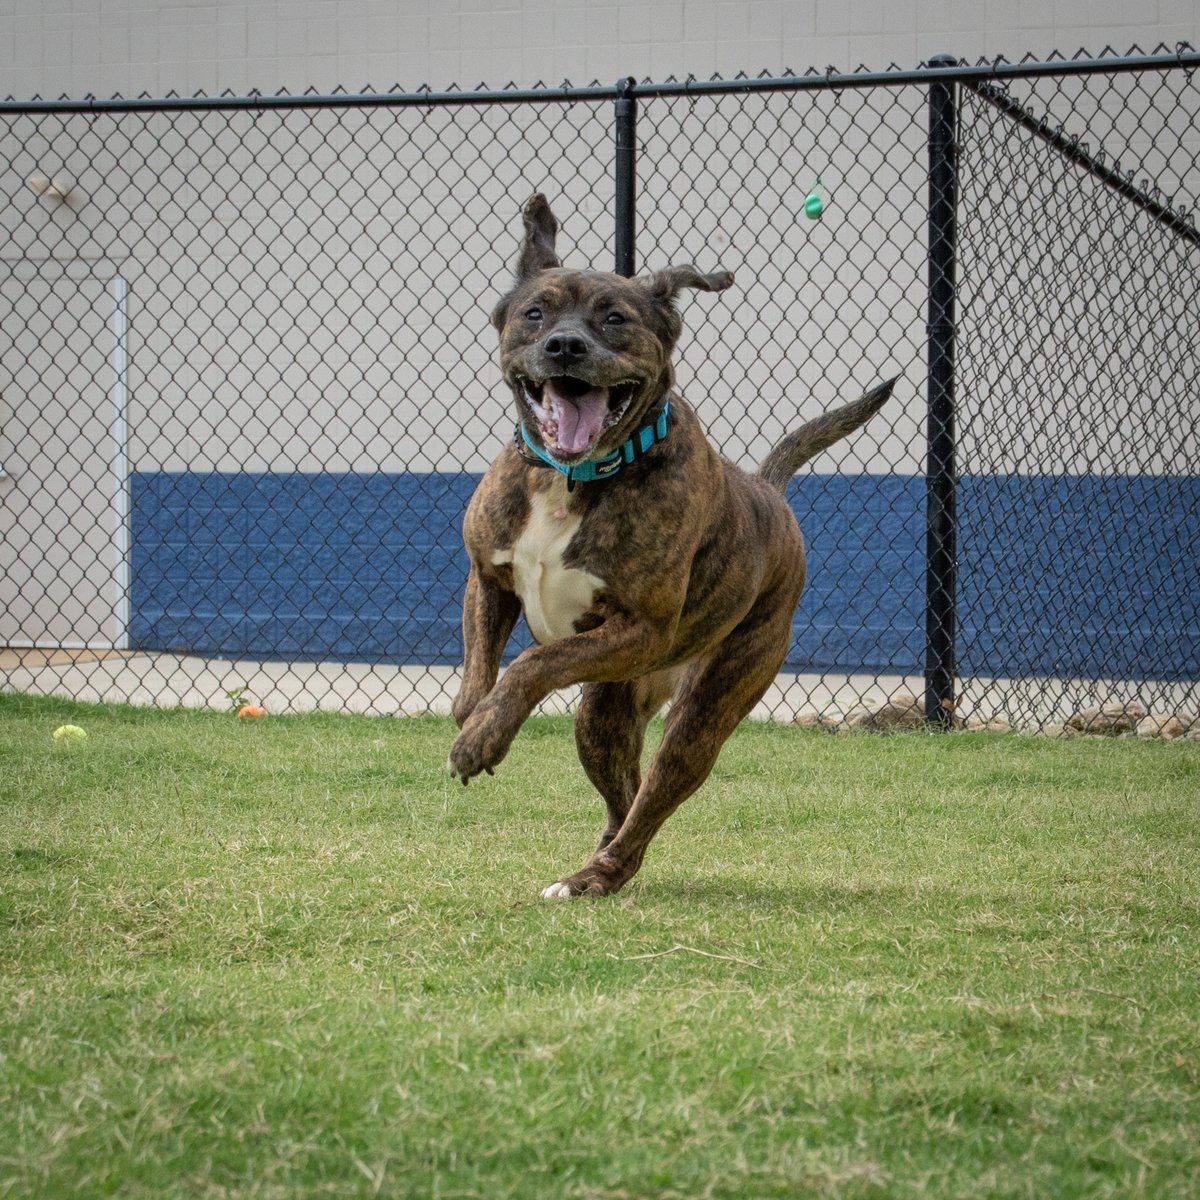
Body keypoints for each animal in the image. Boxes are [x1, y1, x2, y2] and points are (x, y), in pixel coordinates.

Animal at [451, 192, 892, 897]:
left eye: (615, 318)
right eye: (535, 312)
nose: (565, 345)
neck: (574, 478)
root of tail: (766, 491)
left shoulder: (643, 627)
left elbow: (532, 663)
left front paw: (481, 739)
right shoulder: (487, 580)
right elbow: (478, 671)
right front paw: (476, 720)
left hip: (706, 706)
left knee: (650, 798)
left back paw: (595, 876)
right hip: (603, 711)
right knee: (622, 795)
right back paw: (592, 866)